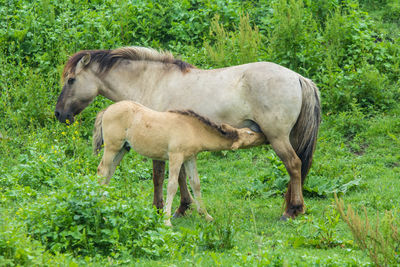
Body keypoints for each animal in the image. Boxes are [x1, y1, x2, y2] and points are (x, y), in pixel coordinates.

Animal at [93, 100, 266, 226]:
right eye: (249, 133)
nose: (263, 135)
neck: (193, 129)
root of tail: (107, 110)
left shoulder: (190, 158)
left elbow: (196, 184)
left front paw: (206, 215)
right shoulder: (175, 156)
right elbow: (172, 186)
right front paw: (167, 220)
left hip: (122, 149)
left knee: (109, 173)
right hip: (112, 147)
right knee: (102, 170)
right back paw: (99, 204)